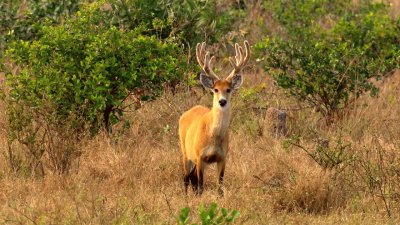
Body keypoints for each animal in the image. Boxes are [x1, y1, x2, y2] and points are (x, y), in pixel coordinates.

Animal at [179, 40, 250, 195]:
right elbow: (201, 186)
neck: (213, 136)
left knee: (191, 177)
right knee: (186, 177)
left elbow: (220, 187)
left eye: (228, 89)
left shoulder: (223, 157)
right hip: (185, 150)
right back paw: (185, 197)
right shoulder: (200, 156)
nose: (222, 101)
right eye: (215, 89)